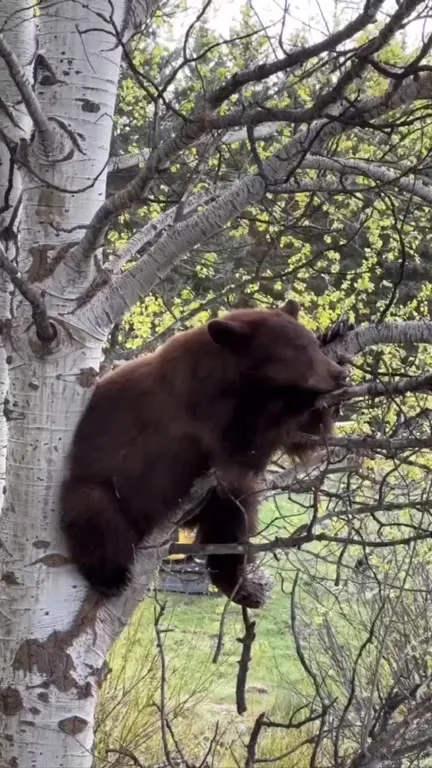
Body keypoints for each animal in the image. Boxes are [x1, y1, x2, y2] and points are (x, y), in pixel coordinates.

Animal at [60, 300, 348, 608]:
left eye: (311, 344)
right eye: (297, 348)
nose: (338, 375)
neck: (229, 377)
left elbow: (303, 438)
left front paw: (336, 332)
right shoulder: (199, 406)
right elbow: (243, 445)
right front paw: (296, 396)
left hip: (211, 499)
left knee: (234, 515)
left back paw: (243, 587)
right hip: (103, 487)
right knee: (94, 512)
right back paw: (111, 577)